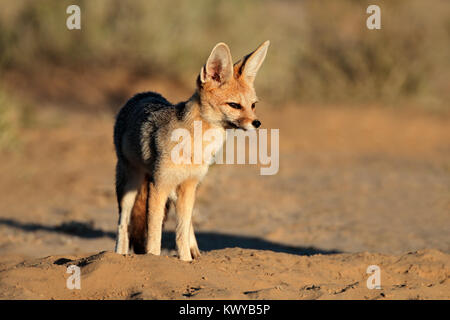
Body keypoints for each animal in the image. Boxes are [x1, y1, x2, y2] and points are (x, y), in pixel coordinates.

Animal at [114, 40, 268, 260]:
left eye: (253, 105)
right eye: (234, 105)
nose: (257, 123)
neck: (196, 144)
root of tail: (143, 93)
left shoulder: (189, 185)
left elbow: (181, 232)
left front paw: (186, 260)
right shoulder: (159, 186)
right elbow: (154, 235)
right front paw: (153, 258)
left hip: (175, 189)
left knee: (185, 225)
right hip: (130, 186)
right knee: (123, 224)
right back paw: (118, 254)